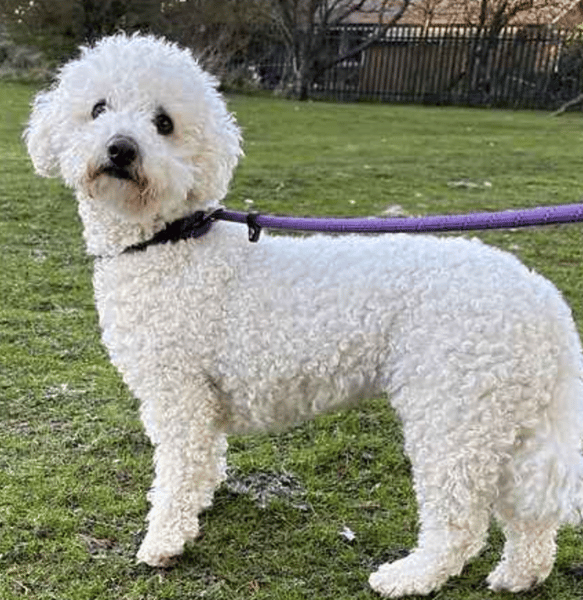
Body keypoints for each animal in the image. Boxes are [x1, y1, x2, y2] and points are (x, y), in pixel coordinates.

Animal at [25, 33, 583, 597]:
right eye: (98, 109)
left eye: (164, 123)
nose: (121, 148)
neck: (170, 239)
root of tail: (541, 298)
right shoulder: (200, 404)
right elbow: (205, 463)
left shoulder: (179, 395)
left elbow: (179, 473)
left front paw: (164, 542)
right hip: (506, 416)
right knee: (532, 509)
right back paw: (520, 573)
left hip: (454, 410)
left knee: (461, 521)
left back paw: (410, 576)